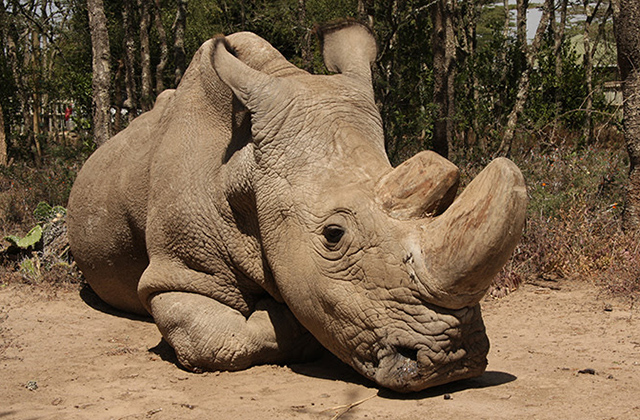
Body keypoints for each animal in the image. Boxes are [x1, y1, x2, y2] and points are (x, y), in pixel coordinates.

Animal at [67, 21, 527, 393]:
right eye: (333, 235)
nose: (455, 361)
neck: (246, 173)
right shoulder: (179, 273)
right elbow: (215, 342)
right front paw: (280, 315)